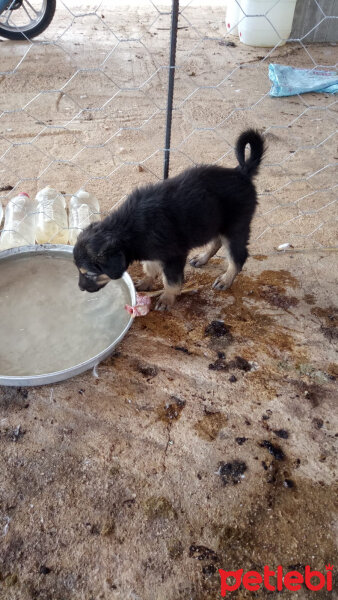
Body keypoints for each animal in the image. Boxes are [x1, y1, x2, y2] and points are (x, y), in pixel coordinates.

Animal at [73, 129, 264, 312]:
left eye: (89, 274)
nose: (80, 288)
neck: (128, 229)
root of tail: (242, 172)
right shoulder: (151, 251)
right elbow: (150, 267)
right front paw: (146, 282)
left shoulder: (174, 255)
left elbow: (171, 281)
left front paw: (166, 299)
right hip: (216, 223)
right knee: (216, 242)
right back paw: (202, 258)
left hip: (236, 227)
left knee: (238, 257)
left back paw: (226, 279)